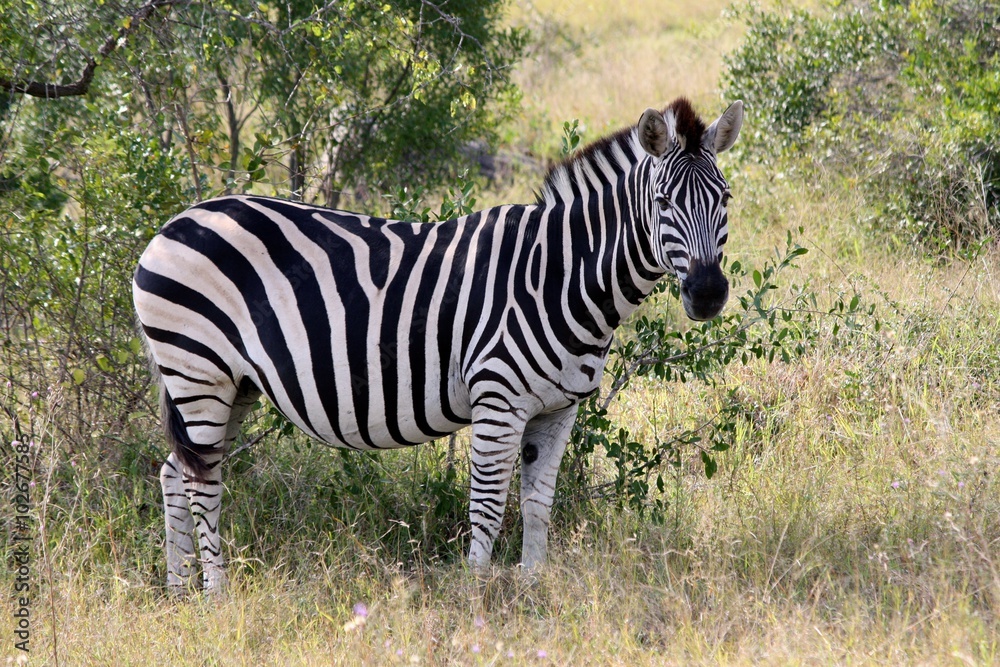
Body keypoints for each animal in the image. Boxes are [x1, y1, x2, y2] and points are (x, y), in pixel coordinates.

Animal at [133, 97, 743, 593]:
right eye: (662, 201)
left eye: (727, 198)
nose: (709, 293)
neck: (560, 275)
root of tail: (174, 222)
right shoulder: (499, 400)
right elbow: (489, 508)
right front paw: (475, 598)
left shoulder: (558, 408)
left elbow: (538, 503)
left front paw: (533, 587)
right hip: (198, 371)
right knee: (201, 481)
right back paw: (217, 594)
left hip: (232, 385)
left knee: (175, 472)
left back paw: (179, 590)